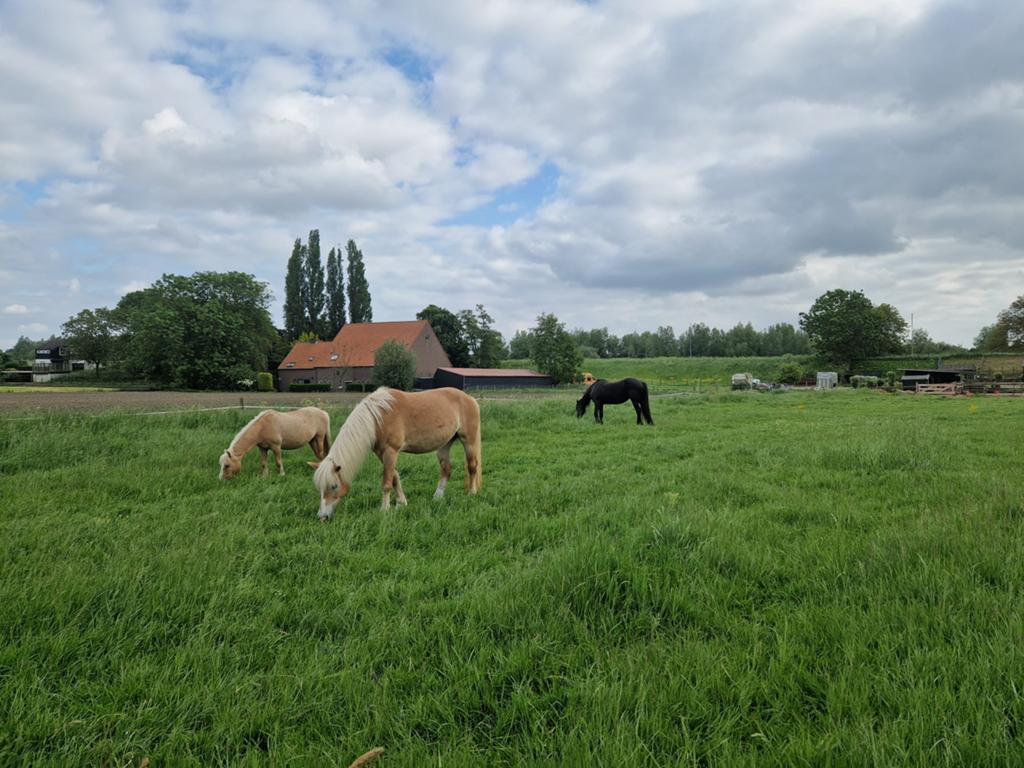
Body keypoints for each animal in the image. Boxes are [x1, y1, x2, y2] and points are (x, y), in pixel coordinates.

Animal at [310, 387, 481, 520]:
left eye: (333, 486)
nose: (322, 517)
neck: (377, 418)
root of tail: (469, 398)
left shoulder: (390, 451)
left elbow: (386, 483)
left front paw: (384, 510)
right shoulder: (381, 453)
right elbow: (395, 477)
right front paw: (401, 503)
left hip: (469, 440)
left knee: (472, 466)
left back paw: (472, 493)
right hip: (445, 444)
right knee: (446, 469)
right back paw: (437, 497)